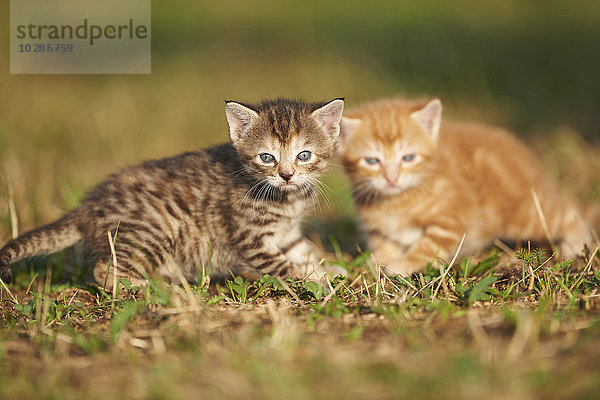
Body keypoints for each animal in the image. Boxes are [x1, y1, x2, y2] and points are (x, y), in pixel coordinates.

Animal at [0, 98, 344, 290]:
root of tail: (89, 205)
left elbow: (303, 252)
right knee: (103, 269)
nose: (286, 175)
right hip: (154, 230)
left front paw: (326, 269)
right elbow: (283, 266)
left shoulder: (288, 233)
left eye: (303, 155)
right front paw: (311, 281)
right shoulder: (250, 238)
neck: (287, 200)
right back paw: (153, 287)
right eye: (267, 158)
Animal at [340, 97, 592, 276]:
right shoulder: (379, 230)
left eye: (408, 157)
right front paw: (375, 263)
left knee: (569, 210)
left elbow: (428, 246)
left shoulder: (454, 217)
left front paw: (402, 265)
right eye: (372, 161)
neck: (395, 201)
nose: (391, 178)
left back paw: (576, 244)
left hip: (527, 212)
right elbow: (384, 246)